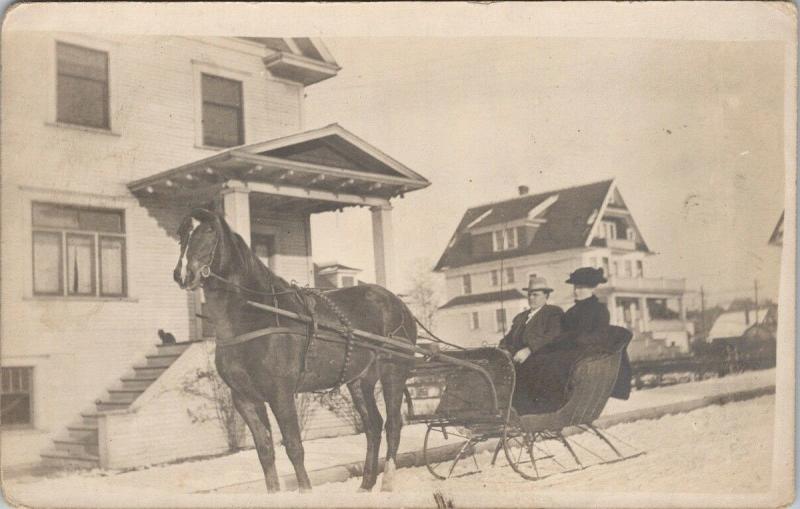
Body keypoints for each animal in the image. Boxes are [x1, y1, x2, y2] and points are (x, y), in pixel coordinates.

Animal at [173, 207, 418, 492]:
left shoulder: (281, 393)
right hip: (359, 381)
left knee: (393, 425)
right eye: (181, 232)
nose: (183, 274)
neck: (260, 313)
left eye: (209, 230)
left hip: (394, 372)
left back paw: (387, 482)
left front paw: (305, 490)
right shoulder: (245, 398)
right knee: (373, 426)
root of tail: (399, 304)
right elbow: (265, 450)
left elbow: (293, 447)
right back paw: (366, 485)